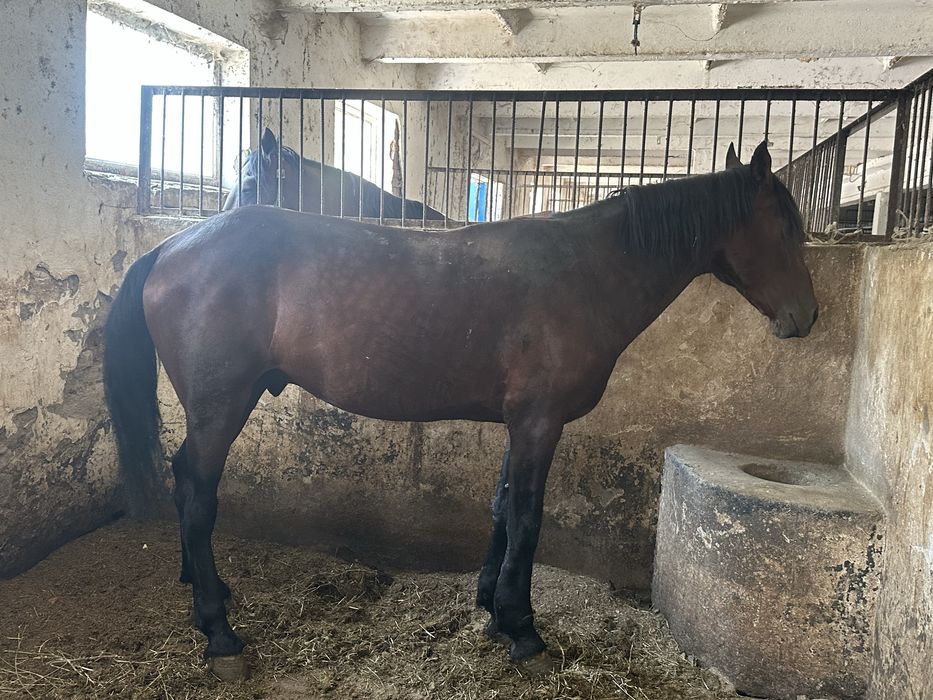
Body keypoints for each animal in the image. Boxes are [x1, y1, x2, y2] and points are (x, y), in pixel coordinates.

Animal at [103, 141, 817, 680]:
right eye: (785, 227)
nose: (806, 317)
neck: (585, 272)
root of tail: (174, 247)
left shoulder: (521, 423)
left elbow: (502, 509)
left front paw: (490, 608)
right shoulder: (540, 424)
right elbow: (527, 518)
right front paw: (523, 630)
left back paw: (205, 591)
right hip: (221, 407)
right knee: (197, 491)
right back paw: (220, 634)